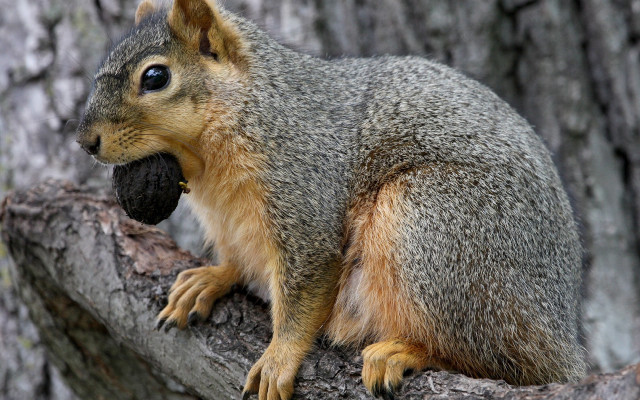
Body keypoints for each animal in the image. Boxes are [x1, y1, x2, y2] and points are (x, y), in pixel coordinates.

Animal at [76, 0, 586, 398]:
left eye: (155, 77)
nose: (85, 141)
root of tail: (560, 332)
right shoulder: (230, 222)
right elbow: (238, 260)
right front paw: (211, 278)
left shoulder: (303, 190)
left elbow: (305, 290)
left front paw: (279, 357)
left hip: (433, 227)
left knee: (495, 357)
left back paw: (405, 350)